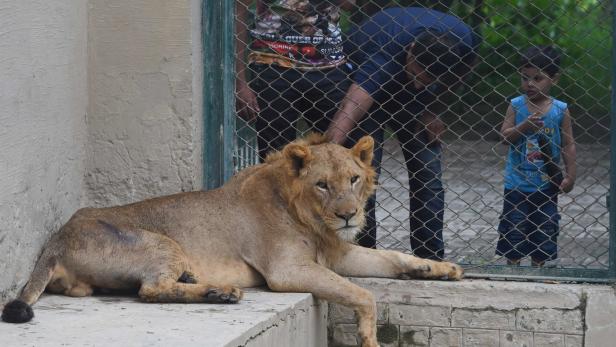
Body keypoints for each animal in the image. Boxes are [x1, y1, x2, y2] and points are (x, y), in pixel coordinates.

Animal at [2, 136, 460, 347]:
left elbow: (393, 258)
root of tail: (57, 238)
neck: (314, 221)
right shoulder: (286, 271)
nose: (349, 215)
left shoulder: (338, 252)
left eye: (353, 179)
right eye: (322, 185)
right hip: (161, 243)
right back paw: (220, 292)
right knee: (151, 290)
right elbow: (363, 294)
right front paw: (369, 338)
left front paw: (441, 268)